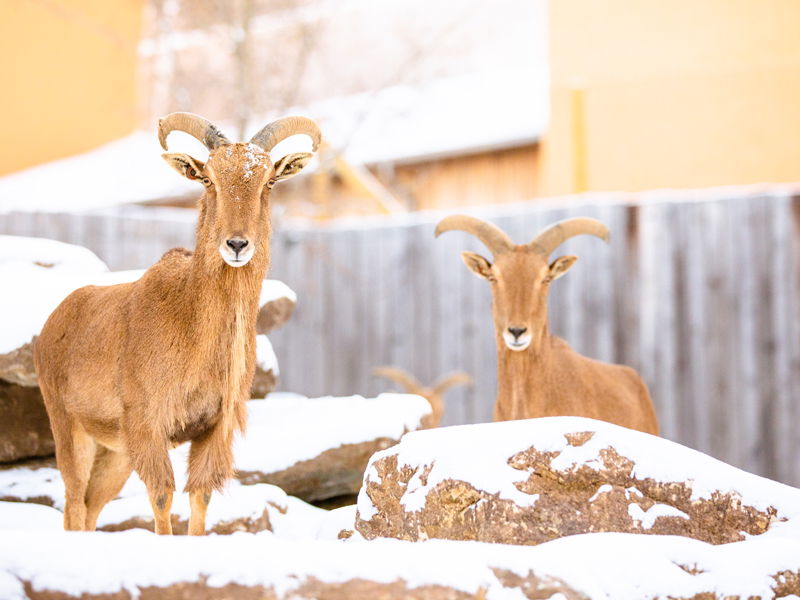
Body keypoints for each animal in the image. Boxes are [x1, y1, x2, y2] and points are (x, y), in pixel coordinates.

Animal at [33, 112, 322, 536]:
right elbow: (162, 497)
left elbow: (199, 497)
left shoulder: (212, 429)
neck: (190, 325)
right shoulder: (148, 425)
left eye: (268, 180)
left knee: (90, 506)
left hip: (114, 453)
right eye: (208, 178)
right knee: (72, 505)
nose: (237, 245)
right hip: (69, 428)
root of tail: (53, 323)